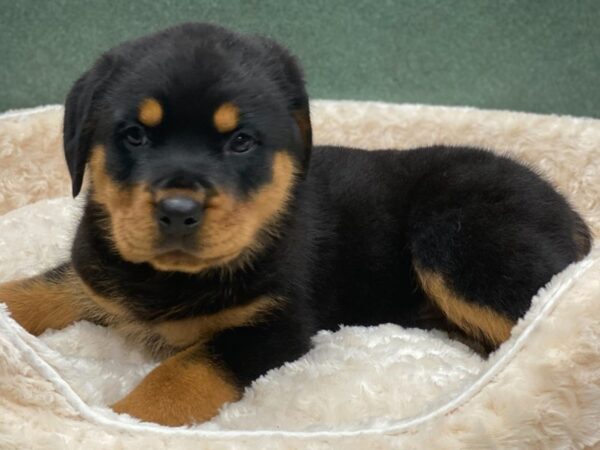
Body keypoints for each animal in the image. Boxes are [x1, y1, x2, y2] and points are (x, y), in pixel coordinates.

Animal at [0, 23, 592, 426]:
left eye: (240, 141)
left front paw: (127, 418)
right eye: (135, 136)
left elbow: (181, 373)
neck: (168, 280)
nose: (178, 210)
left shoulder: (276, 324)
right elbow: (43, 287)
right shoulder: (96, 274)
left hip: (459, 242)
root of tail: (567, 210)